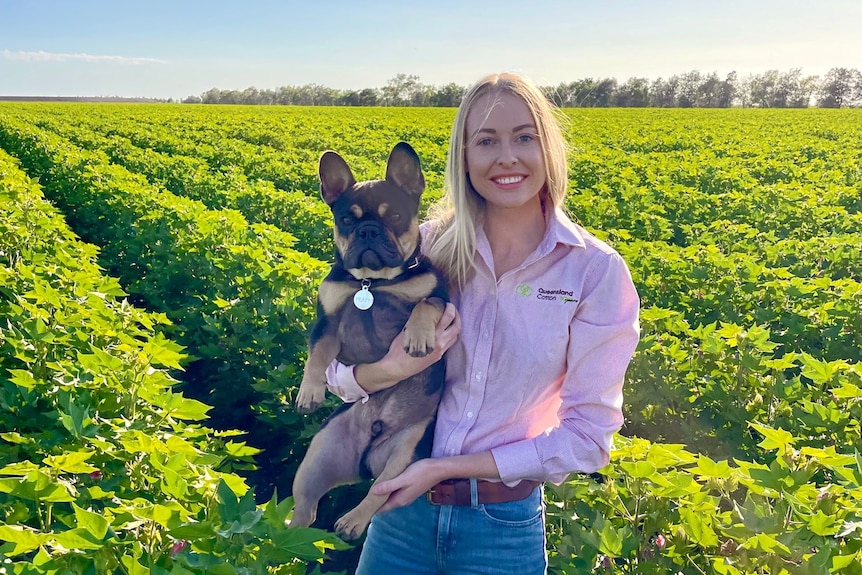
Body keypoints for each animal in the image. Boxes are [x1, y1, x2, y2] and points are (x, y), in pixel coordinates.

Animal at [294, 142, 448, 544]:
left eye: (394, 216)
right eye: (346, 220)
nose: (367, 232)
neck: (372, 283)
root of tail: (365, 459)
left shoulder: (441, 297)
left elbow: (424, 304)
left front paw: (417, 336)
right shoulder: (327, 320)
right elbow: (317, 356)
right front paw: (309, 391)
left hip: (406, 454)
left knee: (379, 493)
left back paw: (352, 521)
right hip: (316, 456)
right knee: (303, 510)